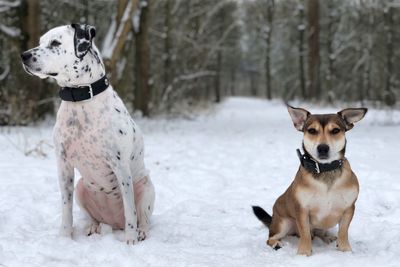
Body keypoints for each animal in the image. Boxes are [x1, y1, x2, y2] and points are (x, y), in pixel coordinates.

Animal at [19, 24, 155, 245]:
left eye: (55, 43)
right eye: (40, 42)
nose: (24, 55)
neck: (80, 99)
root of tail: (113, 222)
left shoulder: (121, 168)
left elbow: (130, 210)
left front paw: (130, 240)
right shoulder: (64, 165)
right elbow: (66, 209)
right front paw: (65, 237)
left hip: (146, 188)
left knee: (141, 217)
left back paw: (140, 232)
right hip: (81, 188)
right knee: (93, 217)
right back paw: (93, 226)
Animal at [255, 105, 368, 256]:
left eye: (335, 130)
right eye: (312, 131)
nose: (323, 148)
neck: (325, 169)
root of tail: (273, 218)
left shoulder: (348, 208)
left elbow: (343, 232)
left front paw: (345, 250)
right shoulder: (302, 210)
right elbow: (305, 234)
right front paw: (304, 253)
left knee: (320, 233)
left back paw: (328, 238)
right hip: (283, 223)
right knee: (271, 238)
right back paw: (276, 244)